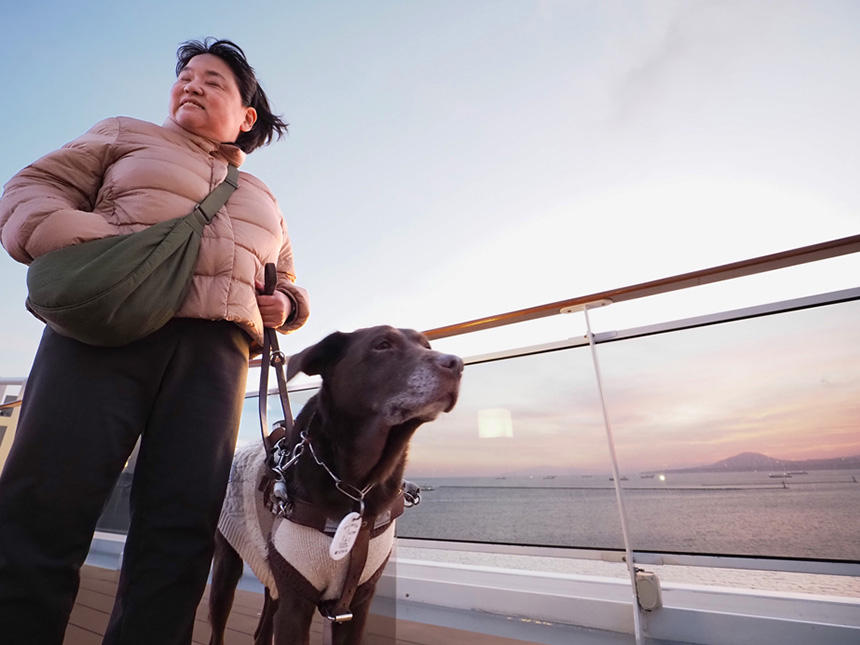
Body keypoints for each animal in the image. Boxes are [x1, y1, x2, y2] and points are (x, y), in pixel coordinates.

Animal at [209, 328, 464, 644]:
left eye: (426, 346)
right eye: (382, 345)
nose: (456, 363)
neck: (358, 486)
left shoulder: (357, 601)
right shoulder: (296, 600)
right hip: (227, 565)